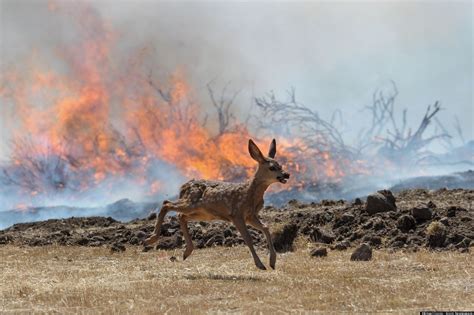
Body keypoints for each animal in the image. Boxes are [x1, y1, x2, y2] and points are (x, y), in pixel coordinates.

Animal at [144, 139, 290, 270]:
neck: (250, 194)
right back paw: (150, 239)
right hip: (191, 203)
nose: (287, 174)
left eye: (281, 166)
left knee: (181, 216)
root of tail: (183, 187)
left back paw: (187, 252)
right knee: (166, 204)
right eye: (272, 167)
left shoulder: (250, 216)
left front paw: (272, 262)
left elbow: (266, 227)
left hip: (203, 213)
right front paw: (260, 265)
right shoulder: (236, 214)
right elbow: (248, 238)